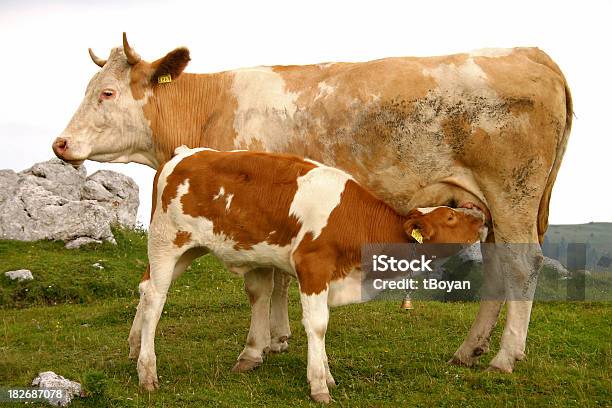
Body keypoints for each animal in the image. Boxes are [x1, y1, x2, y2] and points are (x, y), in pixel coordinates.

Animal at [52, 34, 572, 372]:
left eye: (107, 92)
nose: (60, 144)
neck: (210, 107)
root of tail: (533, 53)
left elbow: (262, 284)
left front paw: (257, 347)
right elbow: (279, 279)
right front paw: (279, 338)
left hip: (512, 195)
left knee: (522, 267)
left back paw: (504, 357)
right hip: (487, 208)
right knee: (497, 267)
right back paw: (470, 350)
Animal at [135, 147, 488, 402]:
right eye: (450, 217)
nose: (482, 216)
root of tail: (184, 153)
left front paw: (327, 374)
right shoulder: (312, 265)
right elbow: (318, 325)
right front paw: (319, 385)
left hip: (187, 250)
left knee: (145, 287)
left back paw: (132, 348)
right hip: (167, 242)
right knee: (156, 298)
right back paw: (147, 371)